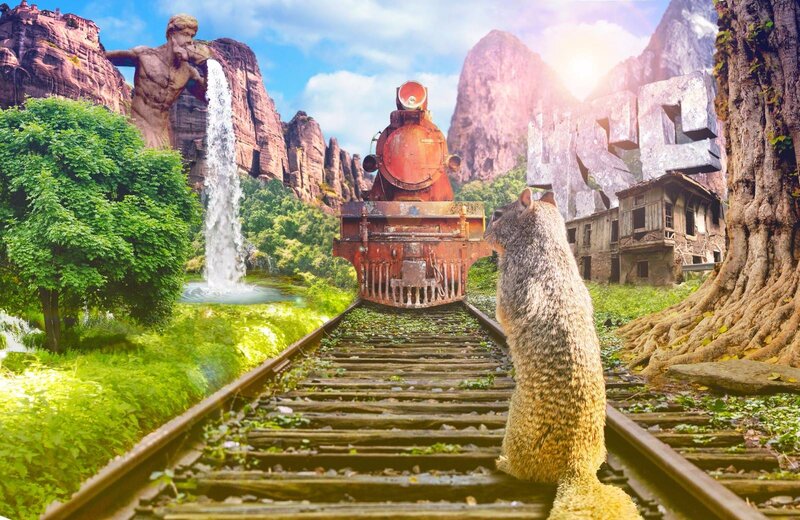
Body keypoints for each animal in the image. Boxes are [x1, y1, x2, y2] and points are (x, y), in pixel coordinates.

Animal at [484, 188, 641, 520]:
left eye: (498, 215)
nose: (484, 233)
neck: (544, 243)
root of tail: (577, 468)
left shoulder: (511, 279)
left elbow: (504, 311)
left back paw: (503, 464)